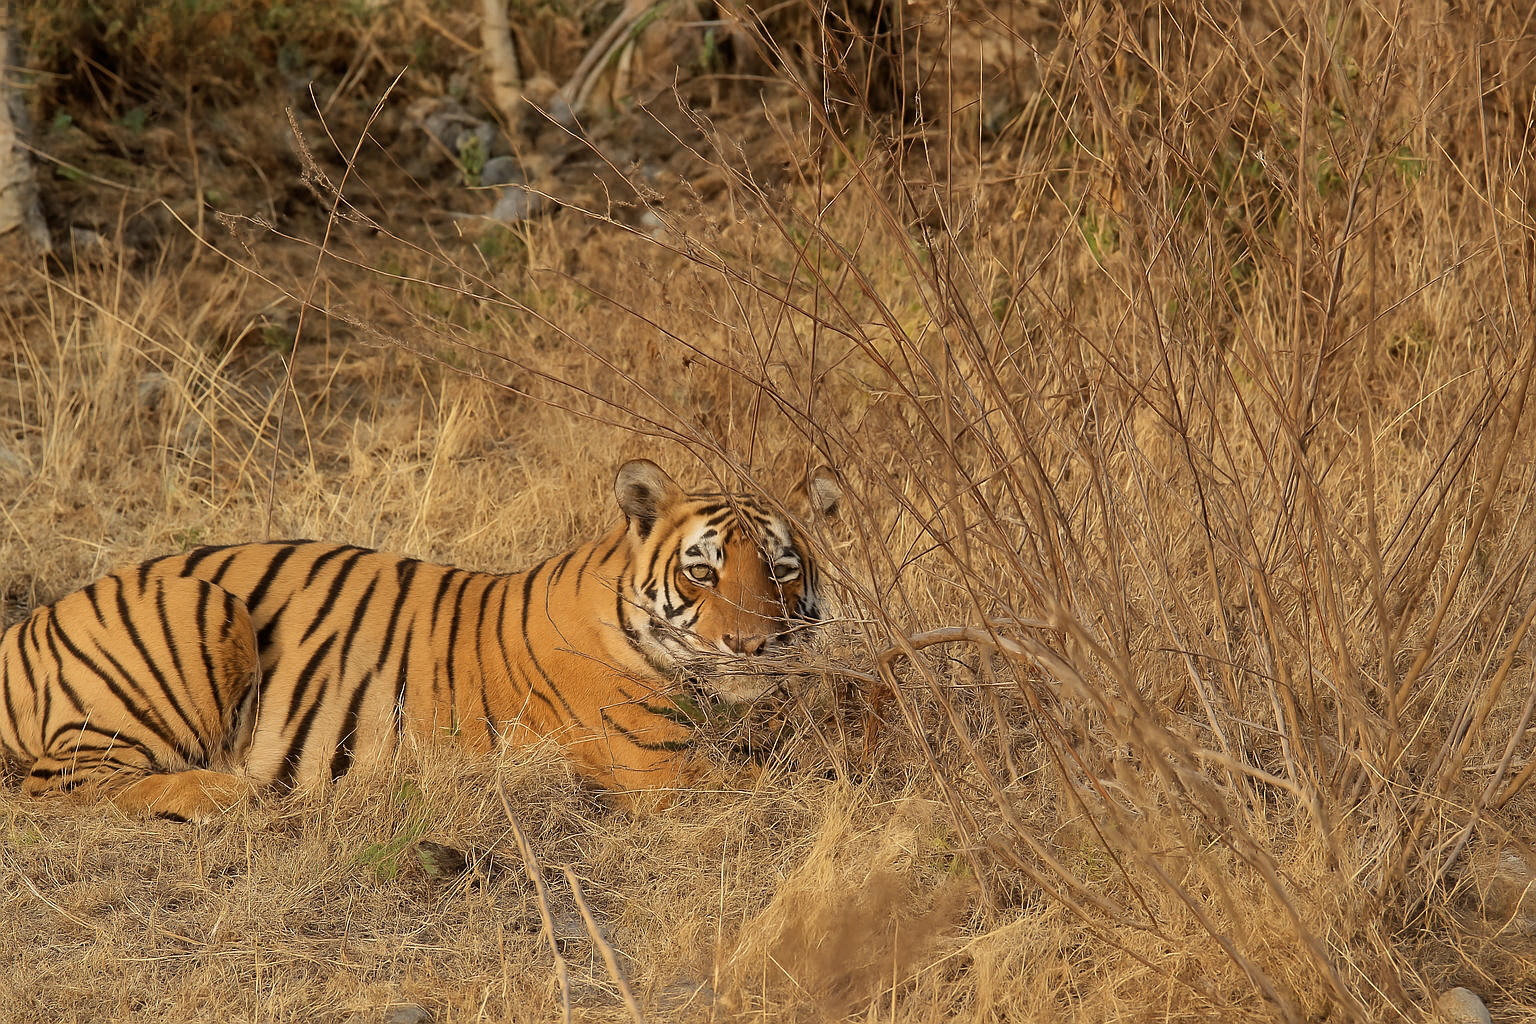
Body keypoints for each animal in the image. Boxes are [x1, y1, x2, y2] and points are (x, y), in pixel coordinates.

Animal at [0, 459, 841, 819]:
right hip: (201, 607)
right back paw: (222, 793)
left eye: (780, 569)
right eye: (702, 572)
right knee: (59, 790)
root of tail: (28, 623)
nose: (753, 647)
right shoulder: (660, 766)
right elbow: (806, 790)